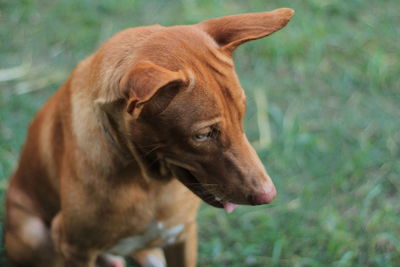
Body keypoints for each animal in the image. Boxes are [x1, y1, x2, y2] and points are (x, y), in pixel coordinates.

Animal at [3, 7, 294, 266]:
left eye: (242, 116)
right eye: (202, 135)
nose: (268, 195)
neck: (147, 182)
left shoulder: (182, 234)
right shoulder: (75, 248)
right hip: (34, 235)